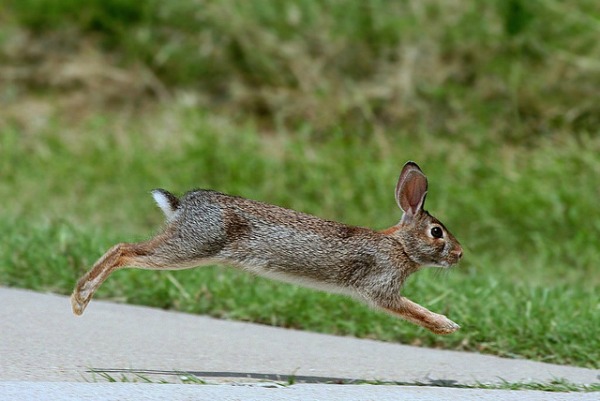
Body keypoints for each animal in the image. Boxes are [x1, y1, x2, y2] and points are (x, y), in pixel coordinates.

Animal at [71, 161, 464, 332]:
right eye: (437, 232)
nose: (460, 254)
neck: (400, 245)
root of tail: (183, 205)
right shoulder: (380, 287)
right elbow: (412, 310)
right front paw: (447, 325)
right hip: (190, 247)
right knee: (124, 250)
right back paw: (80, 299)